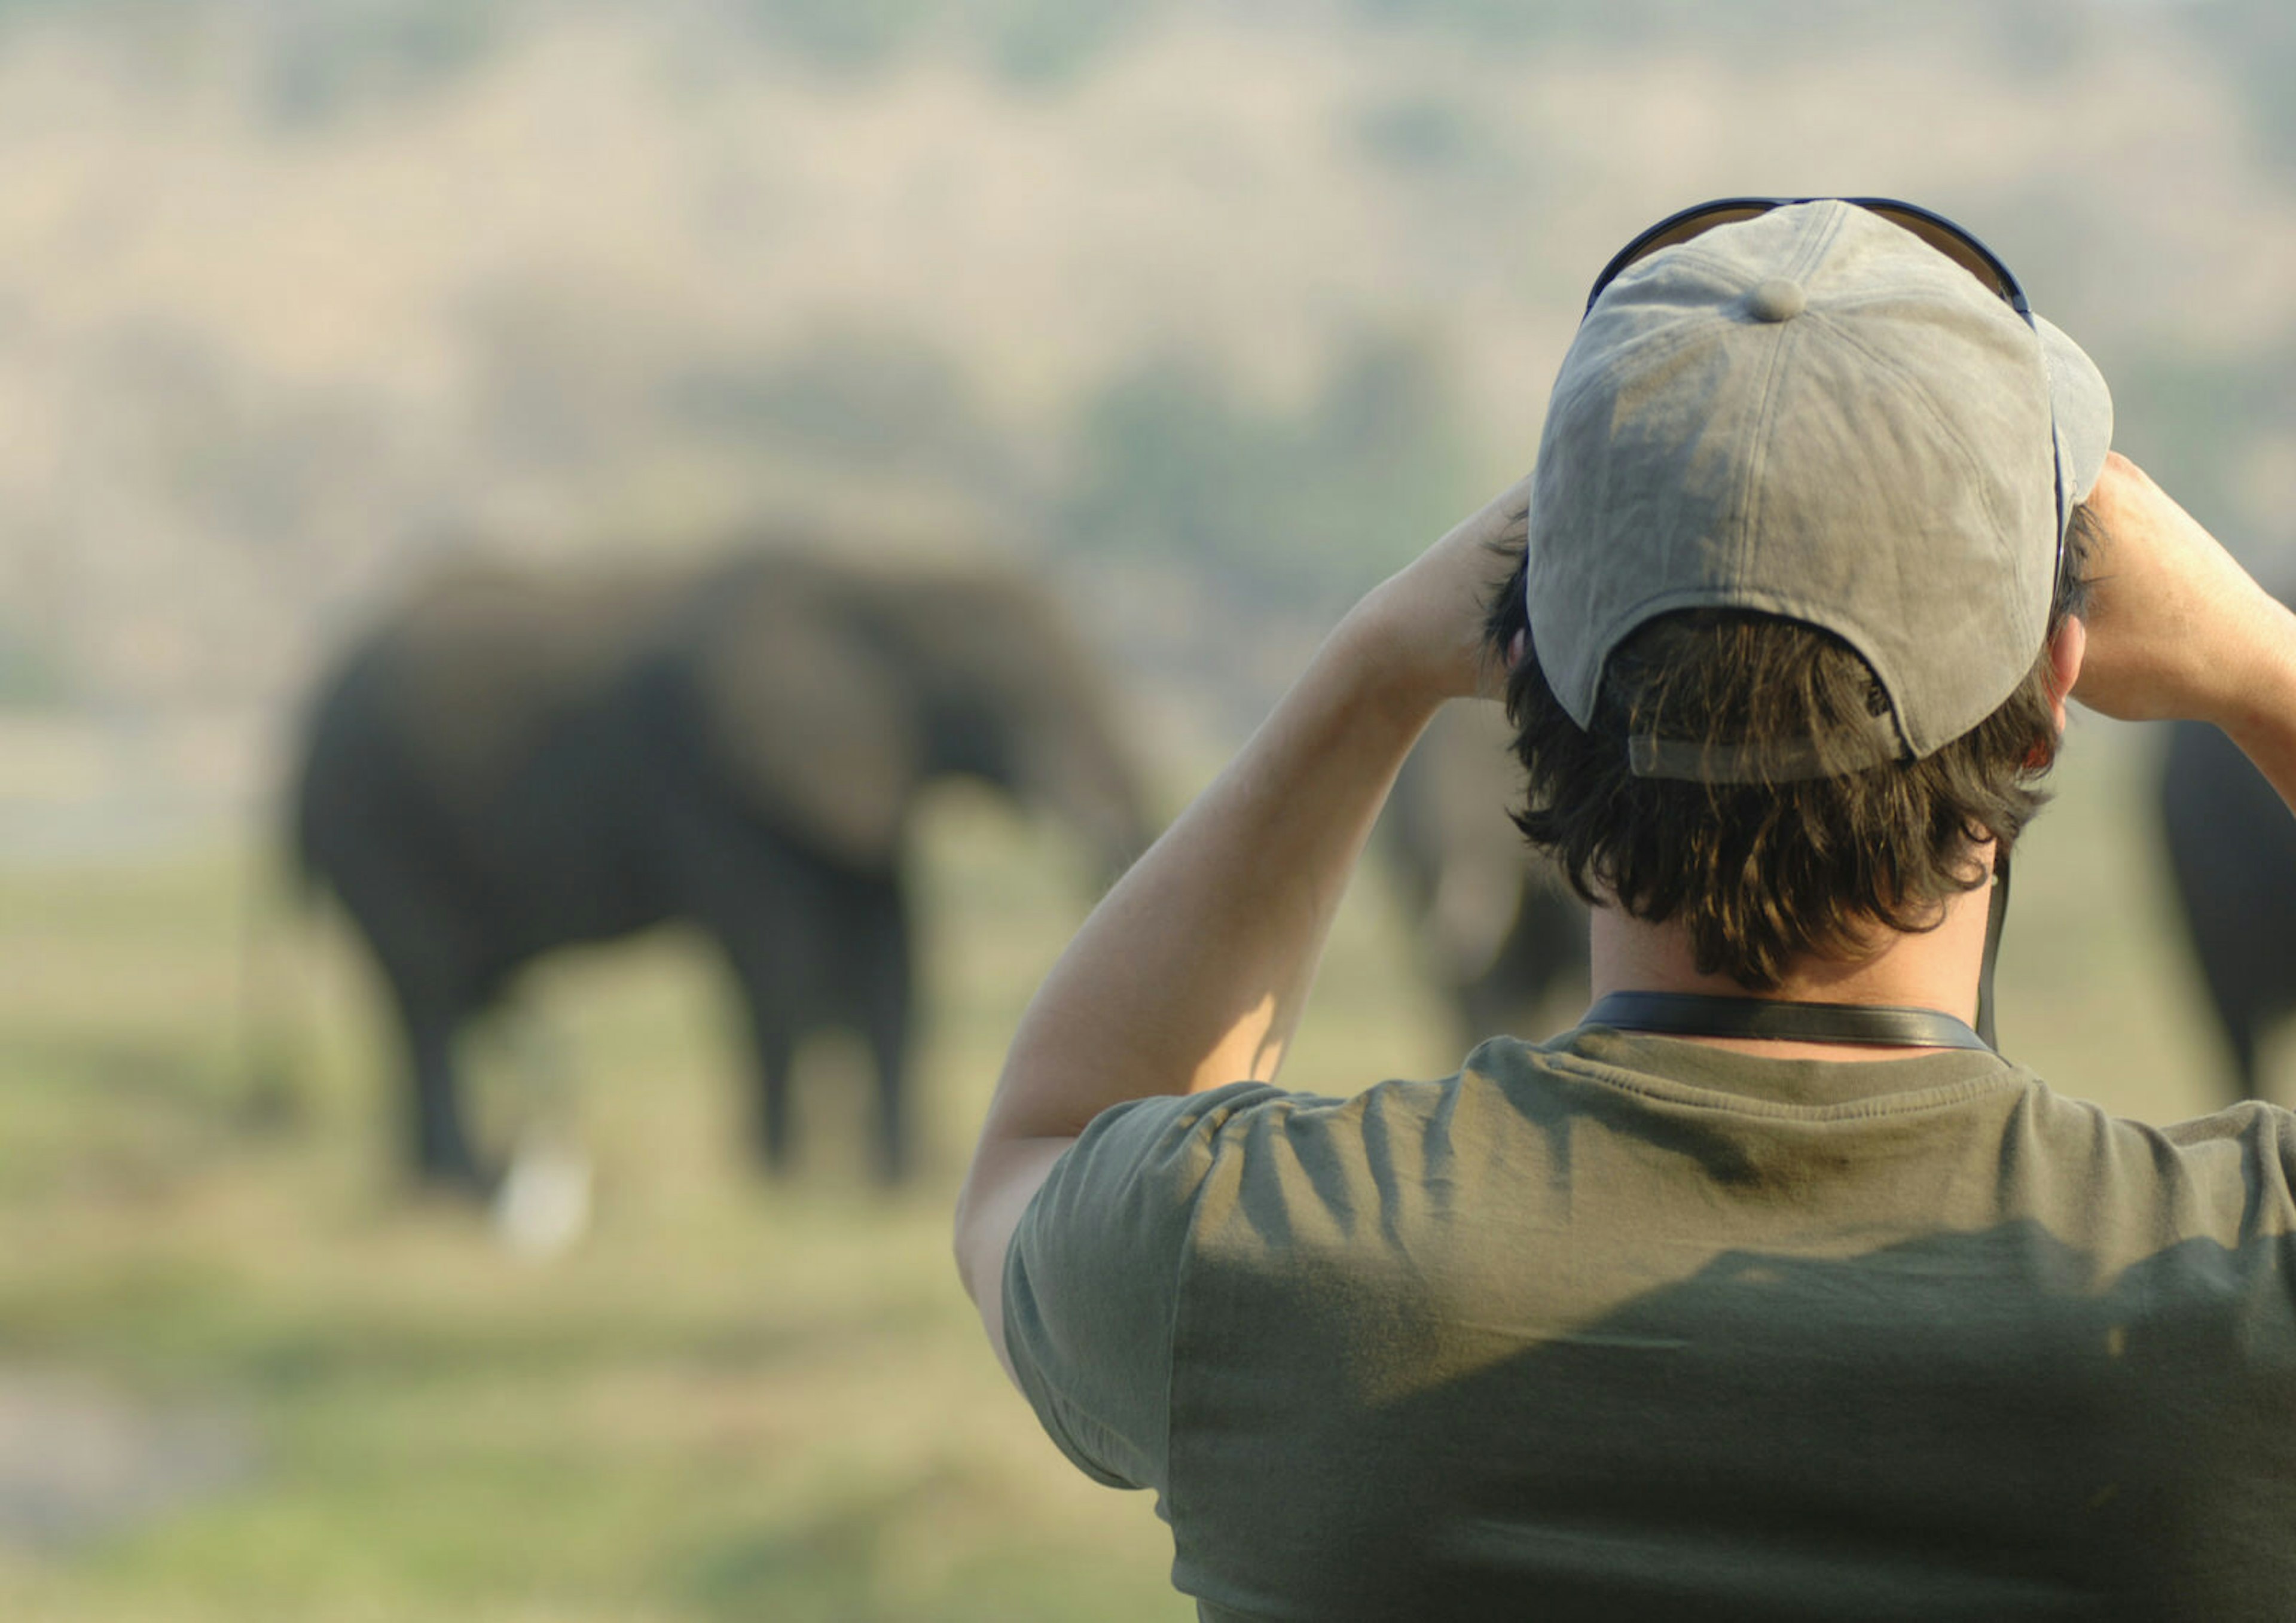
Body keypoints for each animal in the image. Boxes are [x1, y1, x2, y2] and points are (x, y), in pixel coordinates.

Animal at [291, 546, 1148, 1194]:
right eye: (1004, 689)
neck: (875, 576)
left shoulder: (854, 784)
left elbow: (892, 959)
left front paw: (897, 1183)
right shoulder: (722, 783)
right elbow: (778, 962)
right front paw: (783, 1179)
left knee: (426, 1001)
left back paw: (430, 1185)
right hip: (373, 823)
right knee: (430, 995)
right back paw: (460, 1185)